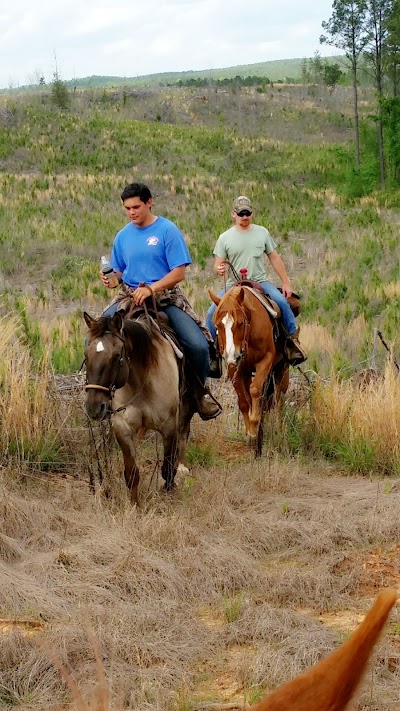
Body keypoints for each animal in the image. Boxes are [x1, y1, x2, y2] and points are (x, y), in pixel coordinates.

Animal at [83, 312, 195, 506]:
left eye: (116, 356)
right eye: (86, 354)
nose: (94, 408)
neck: (141, 380)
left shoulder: (169, 426)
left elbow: (167, 467)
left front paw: (168, 494)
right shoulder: (123, 428)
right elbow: (131, 473)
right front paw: (134, 505)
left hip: (185, 406)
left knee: (183, 432)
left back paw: (182, 467)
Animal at [209, 286, 290, 456]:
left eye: (240, 323)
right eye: (218, 325)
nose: (232, 355)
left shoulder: (266, 360)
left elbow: (254, 391)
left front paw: (253, 426)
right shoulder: (234, 368)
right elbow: (244, 401)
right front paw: (250, 433)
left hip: (281, 371)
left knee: (278, 401)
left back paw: (278, 432)